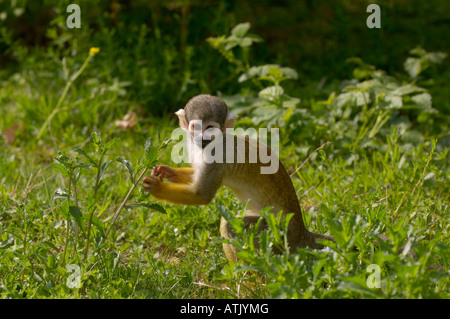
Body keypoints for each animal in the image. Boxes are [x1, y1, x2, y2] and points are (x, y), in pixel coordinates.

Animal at [142, 94, 332, 262]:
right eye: (196, 127)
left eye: (210, 127)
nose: (202, 138)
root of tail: (302, 233)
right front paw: (168, 172)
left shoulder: (217, 158)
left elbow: (202, 194)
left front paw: (157, 187)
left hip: (276, 234)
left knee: (231, 226)